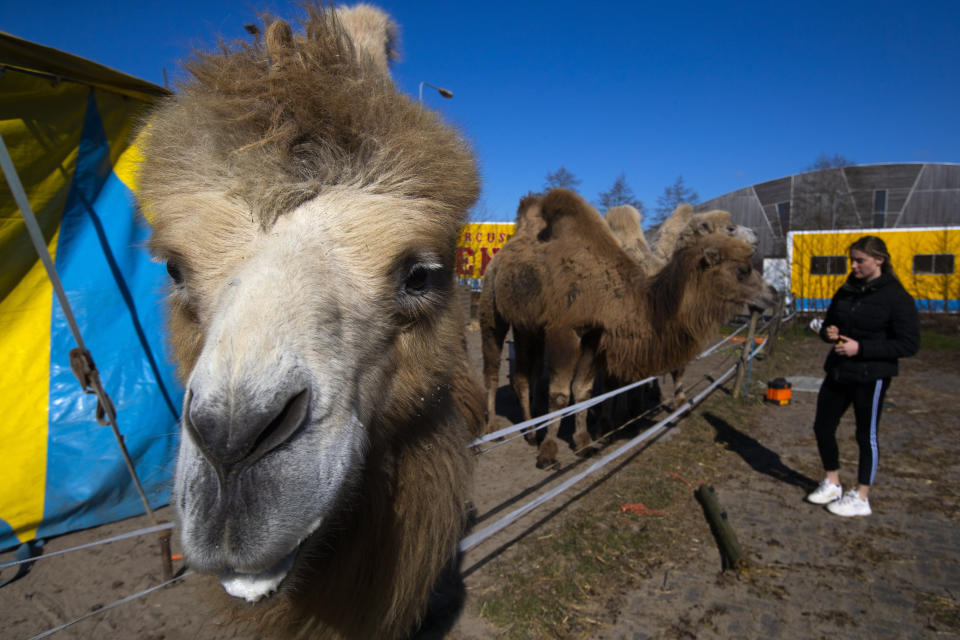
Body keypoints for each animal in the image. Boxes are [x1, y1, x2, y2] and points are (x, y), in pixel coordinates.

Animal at [480, 188, 780, 468]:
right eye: (742, 270)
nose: (773, 293)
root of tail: (500, 256)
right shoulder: (564, 330)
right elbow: (561, 394)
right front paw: (550, 452)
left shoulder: (595, 333)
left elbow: (583, 390)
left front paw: (584, 441)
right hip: (491, 309)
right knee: (492, 370)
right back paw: (493, 428)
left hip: (526, 325)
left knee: (522, 376)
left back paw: (531, 431)